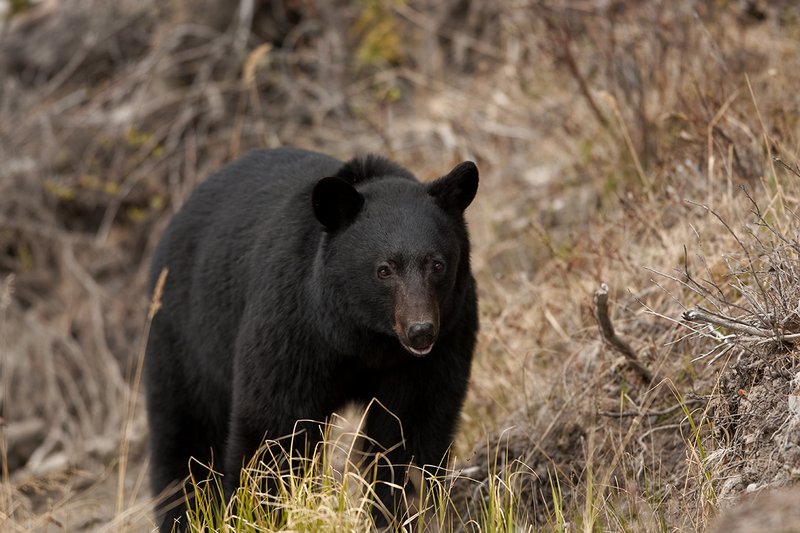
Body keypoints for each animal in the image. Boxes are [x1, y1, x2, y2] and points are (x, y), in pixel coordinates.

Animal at [144, 147, 479, 531]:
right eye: (384, 269)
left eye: (437, 264)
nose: (421, 330)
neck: (364, 338)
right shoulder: (294, 328)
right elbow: (276, 429)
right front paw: (264, 513)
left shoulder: (440, 342)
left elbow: (409, 432)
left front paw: (401, 510)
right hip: (185, 339)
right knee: (186, 439)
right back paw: (186, 514)